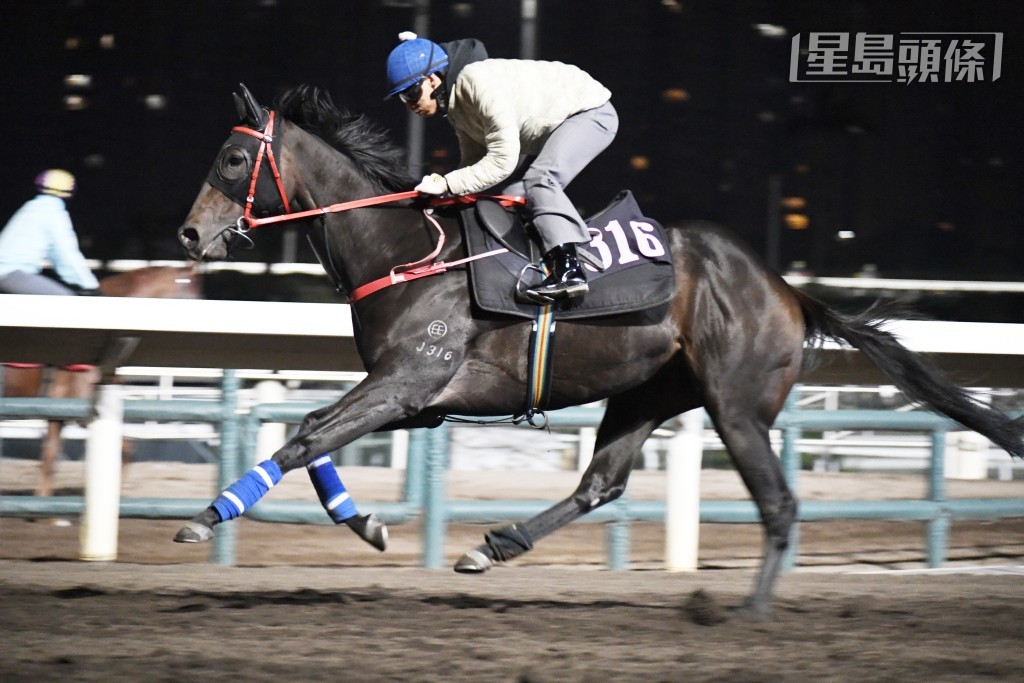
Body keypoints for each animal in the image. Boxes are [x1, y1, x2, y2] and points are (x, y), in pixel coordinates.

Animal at [172, 83, 1019, 614]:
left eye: (233, 160)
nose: (187, 233)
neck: (403, 247)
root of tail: (787, 291)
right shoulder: (418, 398)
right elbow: (314, 433)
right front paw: (368, 524)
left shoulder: (409, 379)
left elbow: (306, 433)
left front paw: (206, 518)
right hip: (648, 390)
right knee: (601, 481)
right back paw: (496, 545)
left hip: (737, 405)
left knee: (777, 501)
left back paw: (748, 610)